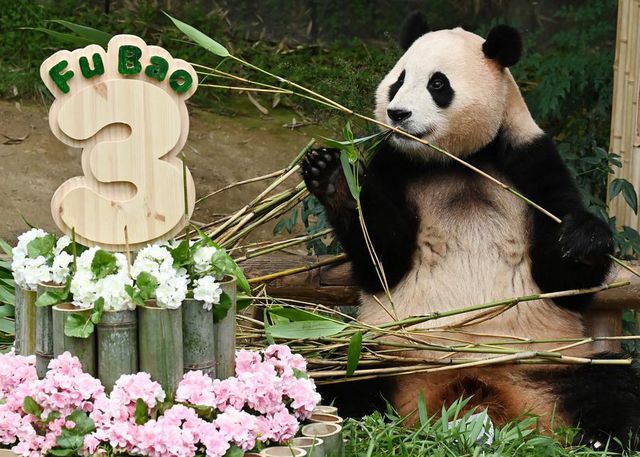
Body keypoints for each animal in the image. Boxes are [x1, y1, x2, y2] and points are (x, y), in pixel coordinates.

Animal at [302, 11, 640, 449]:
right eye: (399, 79)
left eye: (437, 84)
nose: (397, 113)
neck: (456, 160)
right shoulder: (393, 163)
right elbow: (383, 261)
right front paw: (335, 179)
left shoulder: (529, 159)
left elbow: (561, 279)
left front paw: (582, 237)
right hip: (379, 357)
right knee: (329, 374)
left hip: (554, 363)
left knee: (615, 385)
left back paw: (603, 437)